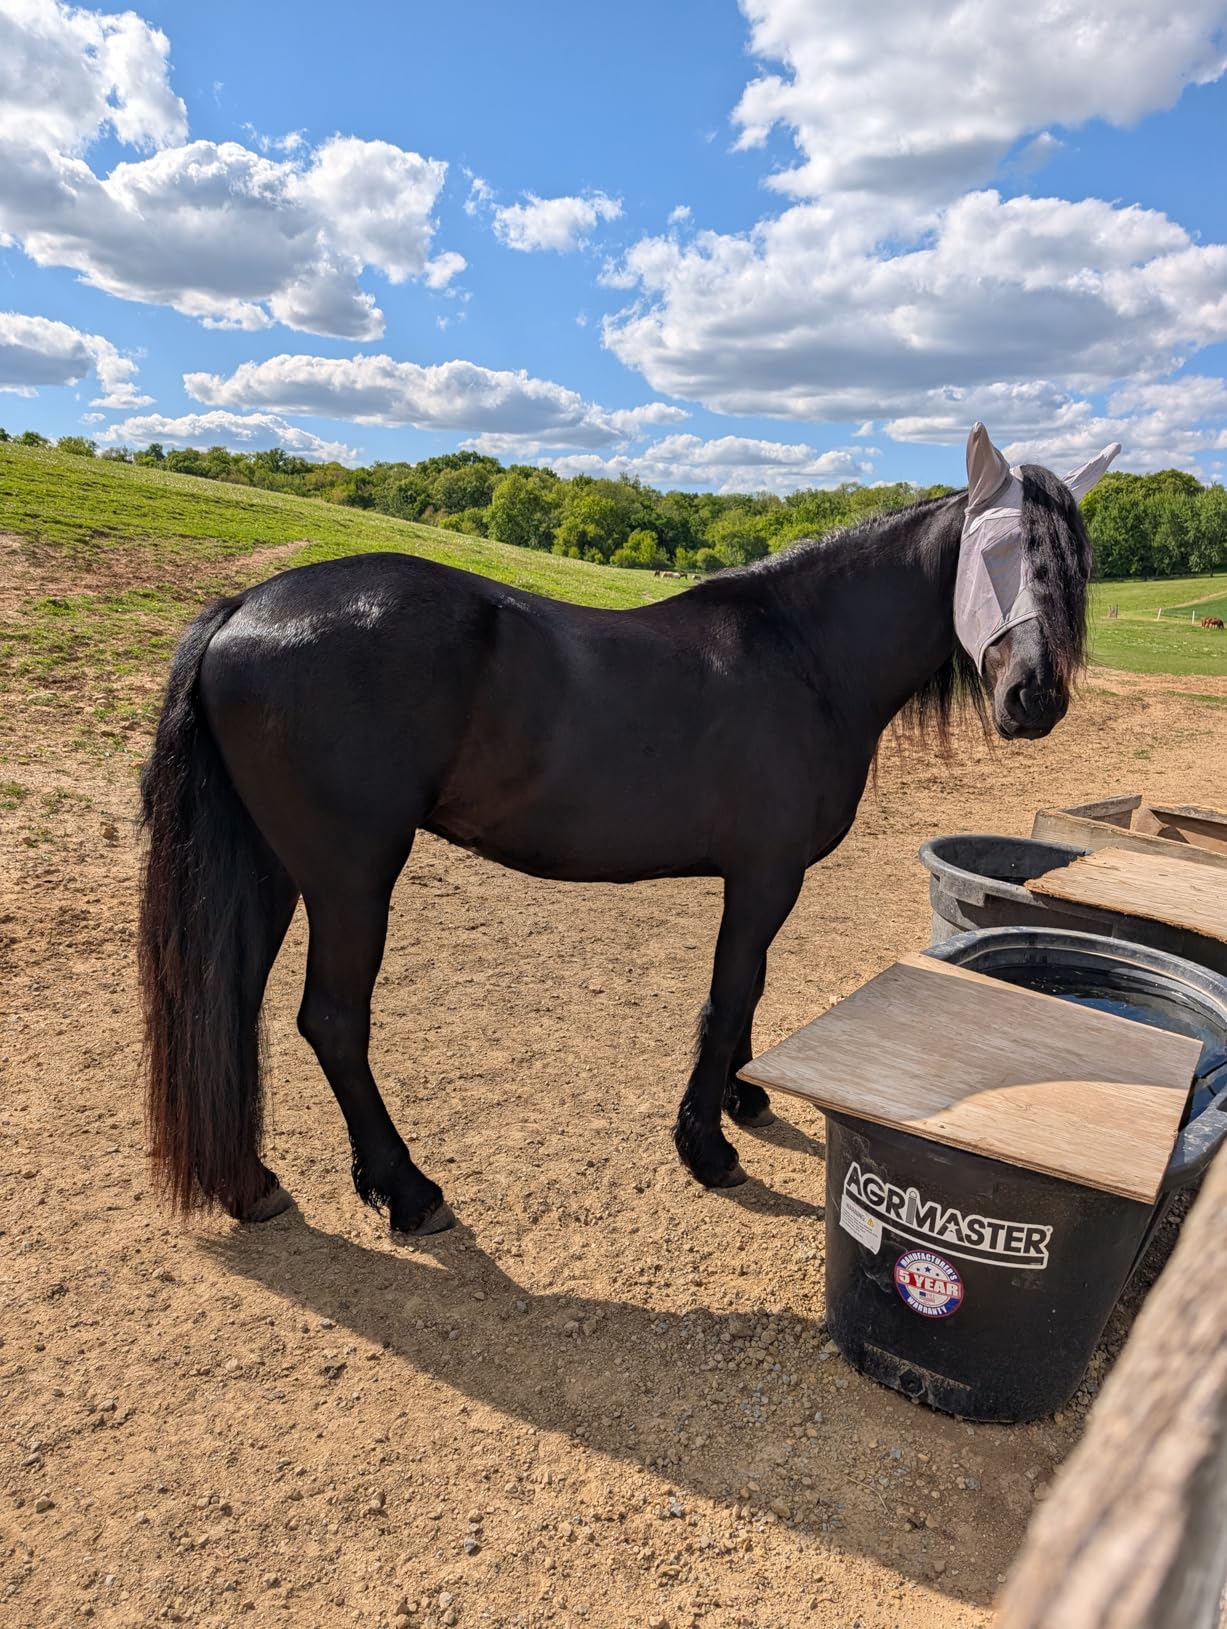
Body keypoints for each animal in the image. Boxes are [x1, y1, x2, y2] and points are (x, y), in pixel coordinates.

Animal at [138, 425, 1110, 1238]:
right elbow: (727, 994)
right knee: (334, 1021)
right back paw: (407, 1189)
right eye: (995, 551)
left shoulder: (761, 878)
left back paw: (252, 1182)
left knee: (233, 1001)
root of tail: (243, 608)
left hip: (273, 869)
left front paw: (742, 1100)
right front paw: (706, 1144)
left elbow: (749, 989)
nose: (1033, 696)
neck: (805, 654)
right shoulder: (765, 874)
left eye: (1076, 569)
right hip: (350, 877)